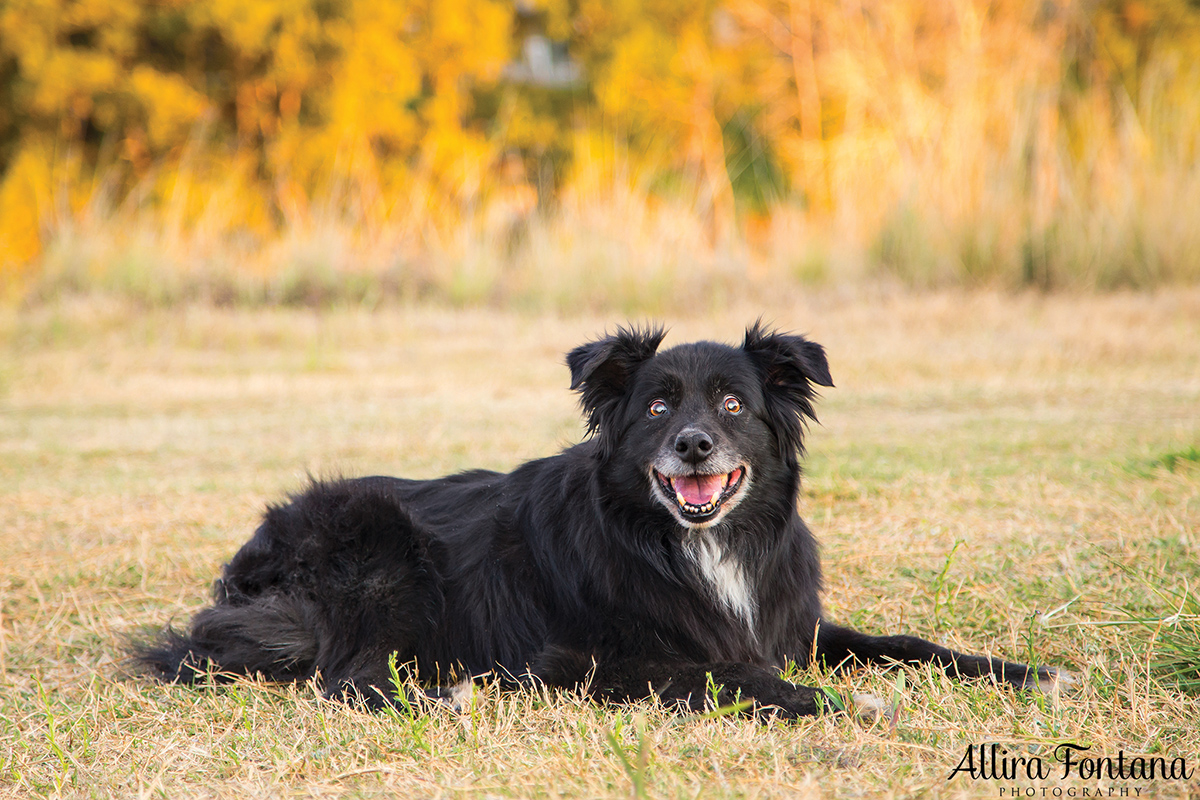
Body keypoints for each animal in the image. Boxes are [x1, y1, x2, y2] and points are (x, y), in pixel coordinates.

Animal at [133, 326, 1070, 719]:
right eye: (658, 406)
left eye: (734, 403)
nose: (693, 444)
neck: (690, 543)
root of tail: (252, 557)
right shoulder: (581, 658)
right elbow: (724, 675)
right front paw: (839, 704)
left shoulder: (791, 623)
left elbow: (907, 644)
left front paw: (1025, 674)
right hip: (385, 552)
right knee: (346, 678)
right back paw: (447, 698)